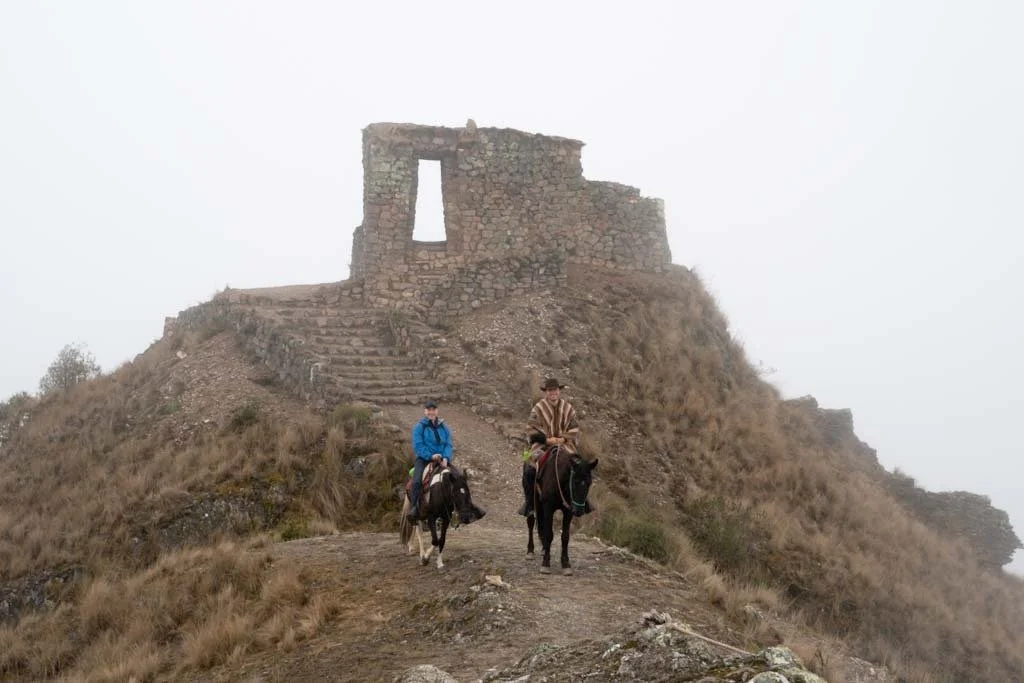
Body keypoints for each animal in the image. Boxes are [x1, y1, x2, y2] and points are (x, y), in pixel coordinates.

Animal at [527, 445, 598, 575]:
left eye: (589, 483)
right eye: (574, 481)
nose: (579, 511)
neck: (559, 479)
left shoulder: (568, 511)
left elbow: (565, 536)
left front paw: (566, 564)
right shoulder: (548, 508)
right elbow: (549, 534)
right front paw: (545, 564)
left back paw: (544, 549)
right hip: (533, 502)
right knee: (531, 521)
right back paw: (530, 551)